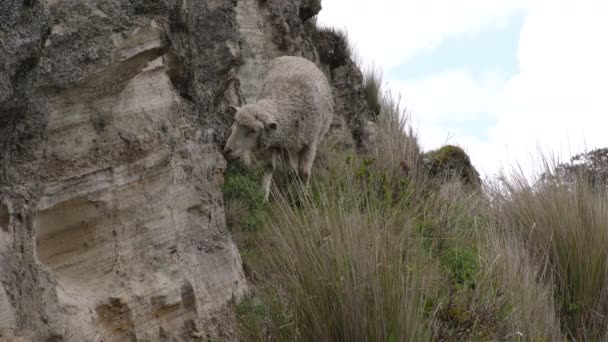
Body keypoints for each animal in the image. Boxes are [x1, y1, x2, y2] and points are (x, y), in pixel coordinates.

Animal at [226, 56, 334, 200]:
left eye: (253, 131)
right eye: (234, 123)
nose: (227, 150)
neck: (287, 98)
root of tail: (295, 56)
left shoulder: (310, 144)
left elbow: (304, 173)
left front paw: (304, 198)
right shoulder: (275, 141)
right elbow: (269, 167)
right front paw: (263, 195)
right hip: (288, 144)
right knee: (291, 170)